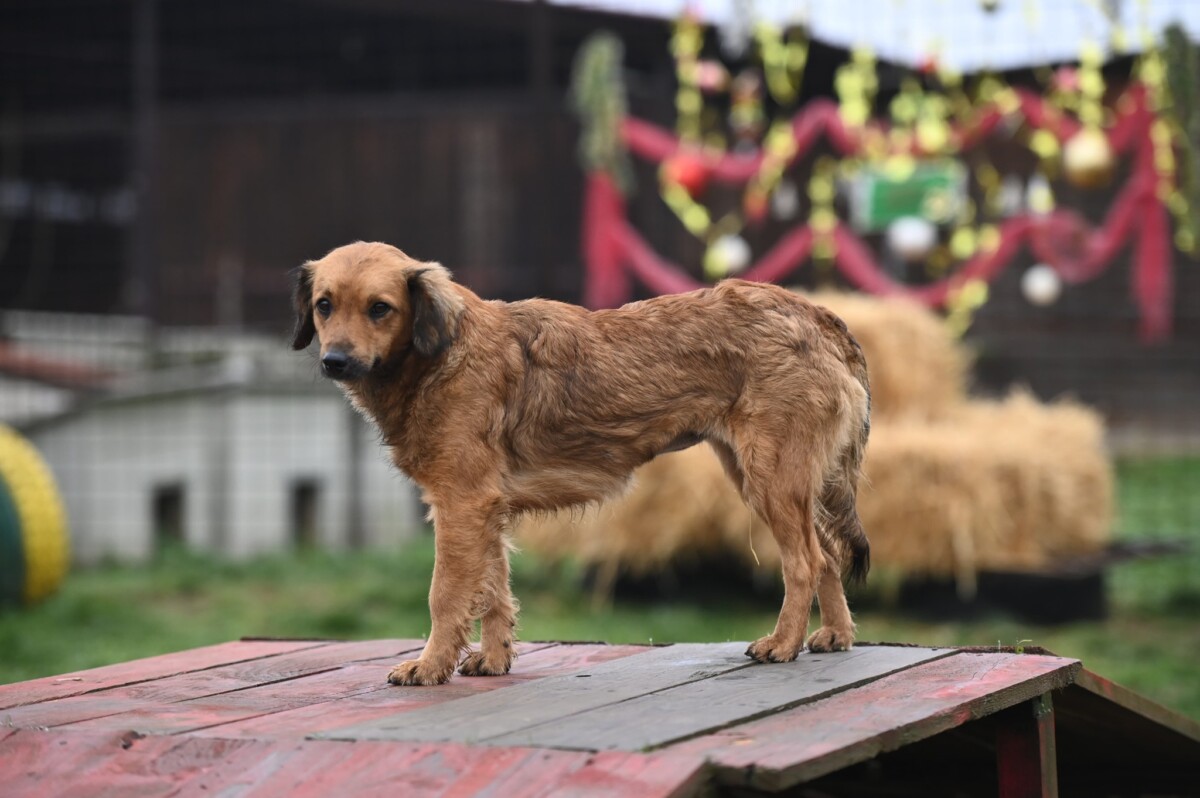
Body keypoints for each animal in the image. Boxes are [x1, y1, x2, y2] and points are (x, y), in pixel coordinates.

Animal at [291, 241, 871, 686]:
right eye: (324, 305)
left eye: (380, 308)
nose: (334, 361)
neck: (441, 354)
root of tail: (815, 313)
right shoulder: (483, 510)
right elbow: (494, 591)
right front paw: (494, 659)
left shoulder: (462, 504)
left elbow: (446, 596)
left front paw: (430, 666)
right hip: (767, 478)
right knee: (826, 556)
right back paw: (836, 635)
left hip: (771, 477)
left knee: (806, 561)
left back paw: (783, 643)